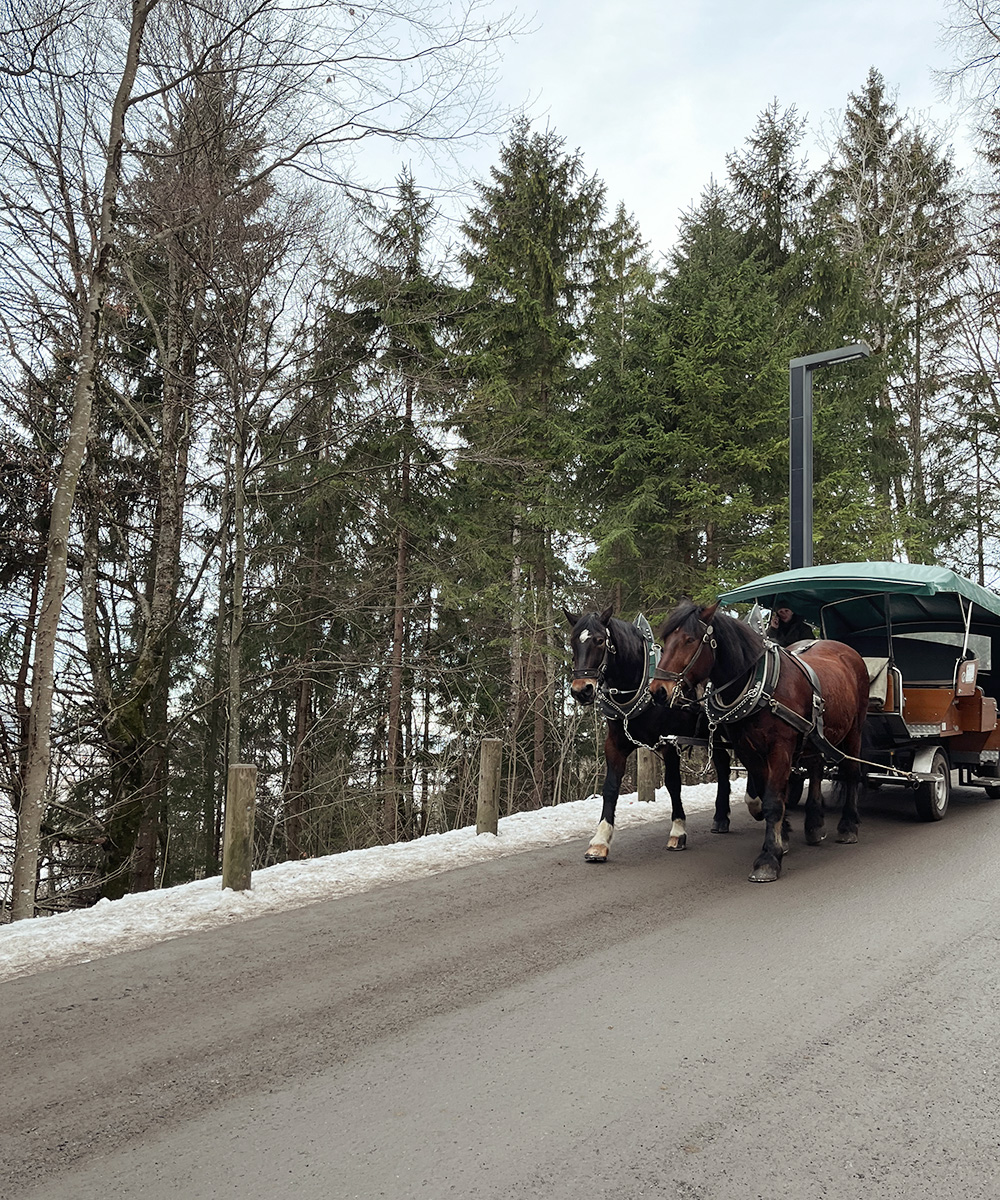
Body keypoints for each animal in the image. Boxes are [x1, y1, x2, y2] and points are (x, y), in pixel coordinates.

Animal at [561, 609, 734, 864]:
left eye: (600, 641)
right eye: (573, 641)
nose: (581, 690)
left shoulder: (669, 743)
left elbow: (673, 784)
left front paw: (678, 832)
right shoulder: (615, 745)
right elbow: (610, 787)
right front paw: (600, 842)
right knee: (723, 764)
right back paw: (722, 816)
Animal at [648, 604, 864, 878]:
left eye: (689, 640)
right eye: (666, 640)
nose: (658, 690)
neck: (762, 685)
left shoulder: (780, 748)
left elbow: (773, 800)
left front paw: (768, 858)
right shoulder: (747, 749)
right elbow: (761, 797)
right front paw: (782, 837)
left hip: (854, 729)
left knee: (851, 772)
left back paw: (848, 826)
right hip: (814, 736)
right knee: (816, 769)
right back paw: (814, 824)